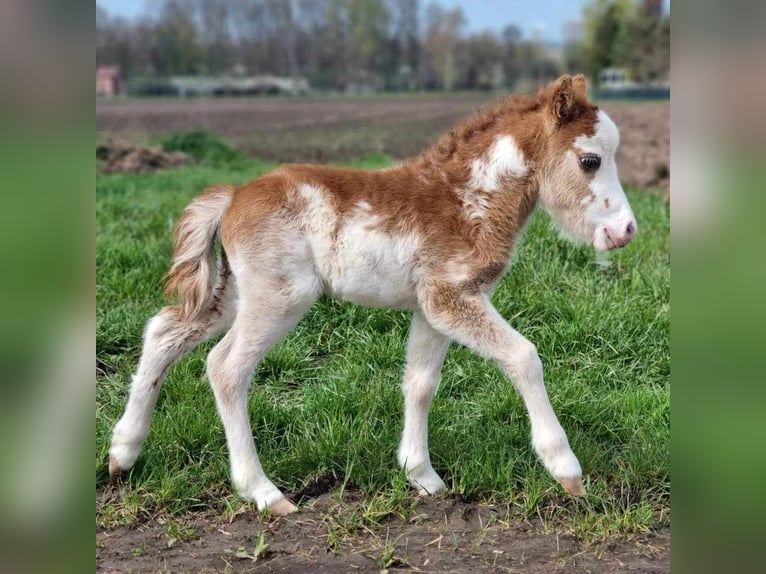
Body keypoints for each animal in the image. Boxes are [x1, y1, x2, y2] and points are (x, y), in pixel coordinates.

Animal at [106, 74, 636, 520]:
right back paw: (263, 492)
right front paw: (566, 471)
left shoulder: (433, 307)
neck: (467, 199)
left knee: (164, 332)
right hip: (280, 297)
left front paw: (421, 476)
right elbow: (524, 357)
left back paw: (122, 454)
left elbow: (420, 382)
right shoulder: (452, 298)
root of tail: (233, 196)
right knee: (225, 367)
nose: (625, 231)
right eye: (590, 160)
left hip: (236, 292)